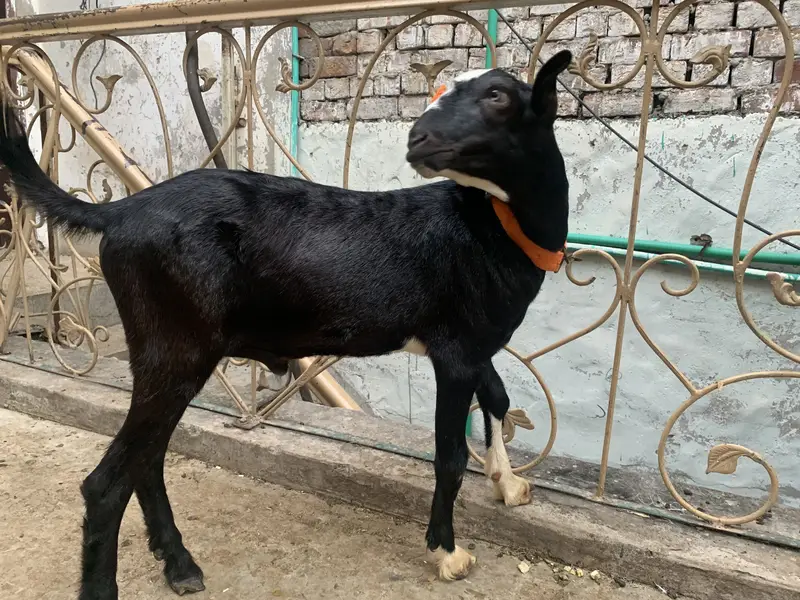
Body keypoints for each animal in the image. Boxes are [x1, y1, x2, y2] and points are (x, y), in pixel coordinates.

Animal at [0, 49, 572, 599]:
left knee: (148, 458)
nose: (418, 139)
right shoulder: (454, 351)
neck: (490, 227)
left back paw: (179, 563)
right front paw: (449, 553)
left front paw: (509, 485)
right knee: (108, 480)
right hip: (177, 350)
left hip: (161, 352)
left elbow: (497, 397)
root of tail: (119, 213)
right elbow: (450, 456)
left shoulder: (476, 344)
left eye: (497, 95)